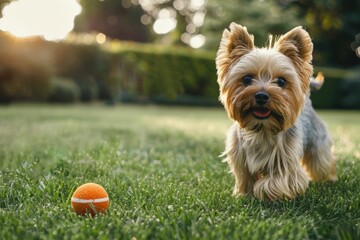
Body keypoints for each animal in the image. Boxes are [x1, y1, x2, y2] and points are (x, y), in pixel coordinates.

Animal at [217, 23, 338, 201]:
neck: (262, 128)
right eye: (246, 79)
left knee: (321, 162)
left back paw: (328, 178)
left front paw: (263, 193)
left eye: (281, 81)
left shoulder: (286, 161)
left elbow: (274, 182)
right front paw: (244, 194)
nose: (261, 96)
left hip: (318, 142)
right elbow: (244, 177)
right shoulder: (239, 156)